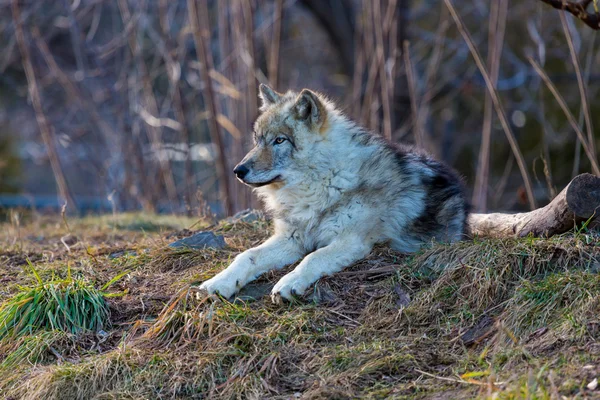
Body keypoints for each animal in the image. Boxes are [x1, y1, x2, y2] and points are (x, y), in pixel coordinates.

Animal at [199, 84, 466, 304]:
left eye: (280, 141)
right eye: (258, 140)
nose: (238, 170)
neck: (319, 185)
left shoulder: (350, 241)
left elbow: (313, 258)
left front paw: (288, 283)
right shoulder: (291, 239)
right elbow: (247, 256)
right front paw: (219, 283)